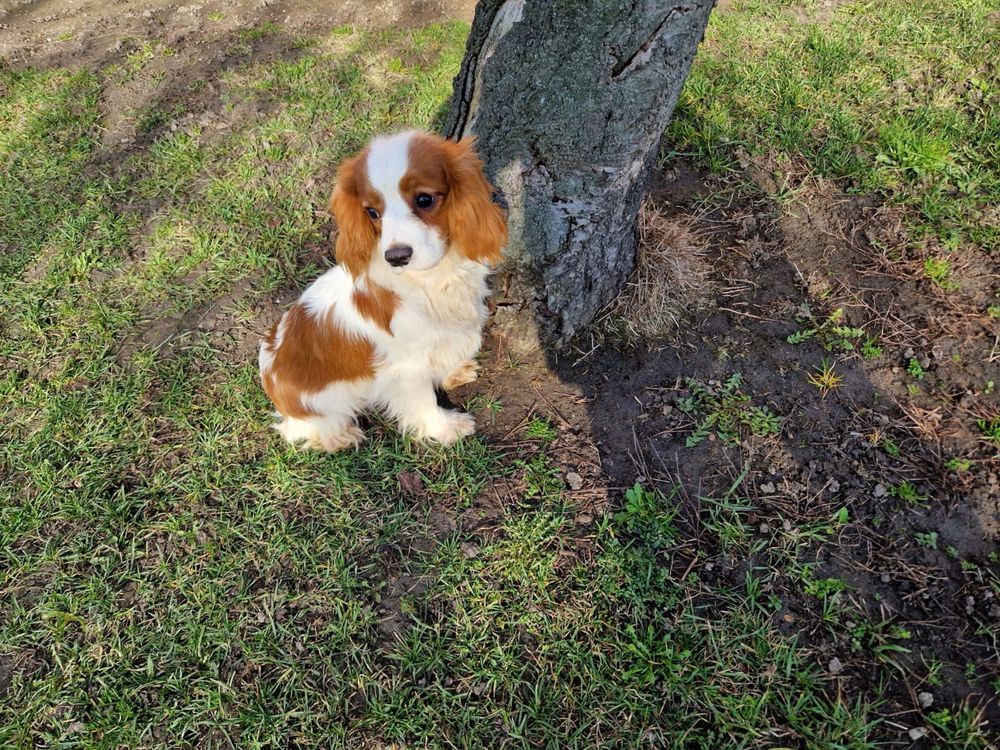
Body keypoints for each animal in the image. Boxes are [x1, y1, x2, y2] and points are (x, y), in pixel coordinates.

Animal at [260, 131, 508, 452]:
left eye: (424, 199)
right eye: (372, 212)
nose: (397, 256)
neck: (432, 278)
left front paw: (453, 373)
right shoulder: (407, 367)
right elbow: (424, 401)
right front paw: (445, 428)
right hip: (321, 405)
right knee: (303, 430)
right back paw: (340, 436)